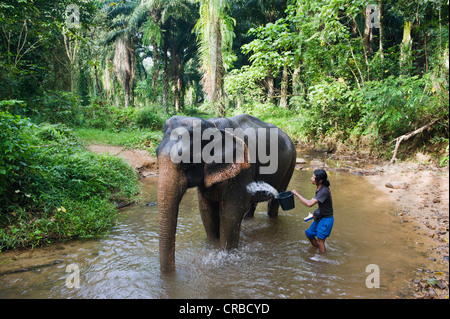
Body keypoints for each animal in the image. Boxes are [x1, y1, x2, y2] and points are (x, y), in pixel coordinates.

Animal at [156, 113, 298, 272]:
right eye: (155, 154)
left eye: (187, 163)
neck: (212, 125)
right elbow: (206, 212)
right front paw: (212, 247)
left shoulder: (242, 171)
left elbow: (230, 213)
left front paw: (225, 256)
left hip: (291, 163)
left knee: (275, 201)